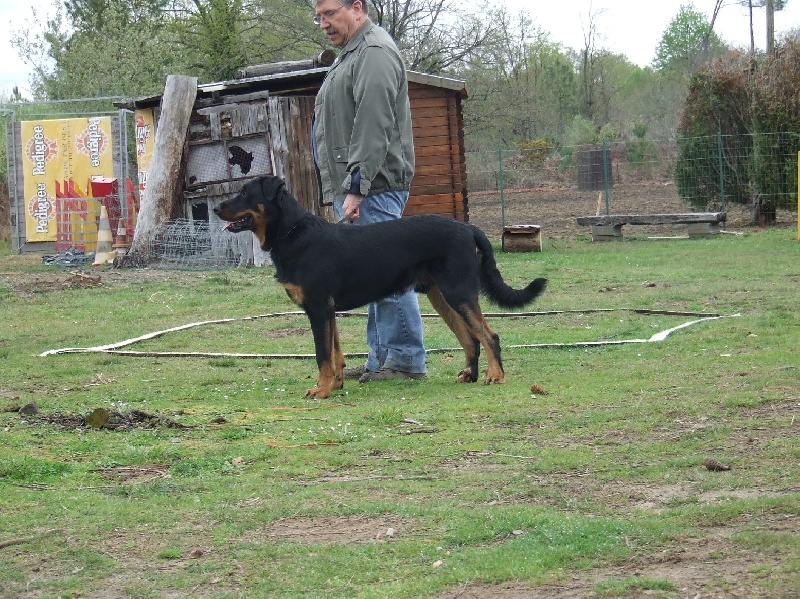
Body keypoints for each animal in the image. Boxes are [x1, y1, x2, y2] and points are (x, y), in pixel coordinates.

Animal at [216, 176, 548, 400]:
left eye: (245, 192)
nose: (218, 207)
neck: (292, 233)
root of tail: (468, 228)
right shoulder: (328, 310)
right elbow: (335, 353)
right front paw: (336, 384)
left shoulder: (318, 307)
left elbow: (323, 354)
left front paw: (321, 390)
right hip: (441, 296)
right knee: (470, 339)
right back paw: (469, 375)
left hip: (459, 292)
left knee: (489, 335)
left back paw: (495, 376)